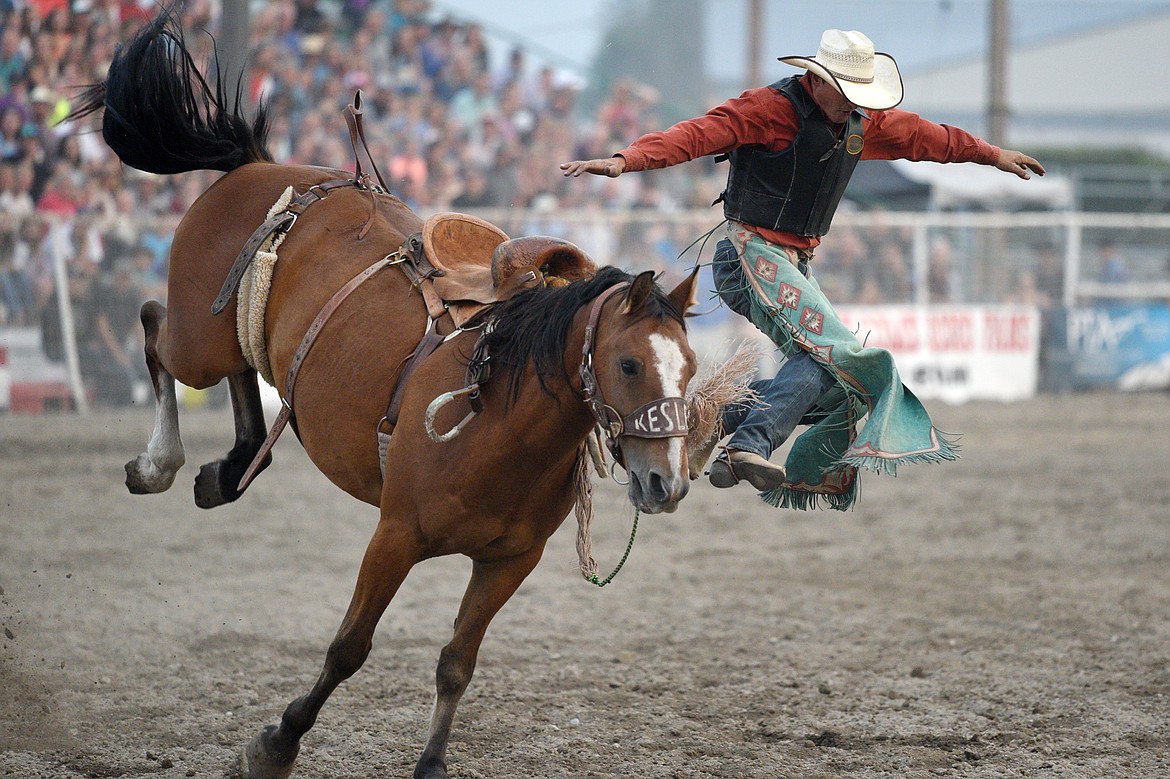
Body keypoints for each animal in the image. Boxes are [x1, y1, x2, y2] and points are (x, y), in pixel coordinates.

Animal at [70, 7, 702, 776]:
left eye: (690, 366)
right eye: (631, 365)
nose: (665, 482)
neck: (500, 421)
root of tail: (256, 164)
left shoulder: (508, 561)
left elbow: (457, 662)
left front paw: (430, 761)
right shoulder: (395, 535)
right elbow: (350, 647)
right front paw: (276, 741)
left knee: (239, 378)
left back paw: (229, 468)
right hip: (200, 336)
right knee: (153, 329)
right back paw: (158, 463)